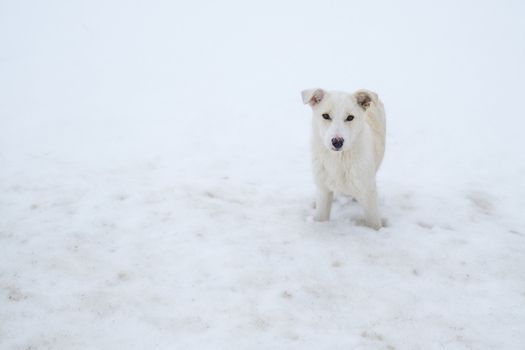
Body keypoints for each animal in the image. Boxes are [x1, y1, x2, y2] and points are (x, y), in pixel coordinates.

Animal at [300, 89, 382, 228]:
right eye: (325, 116)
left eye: (350, 117)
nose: (337, 142)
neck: (338, 160)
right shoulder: (323, 191)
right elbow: (321, 217)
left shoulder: (368, 192)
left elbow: (374, 223)